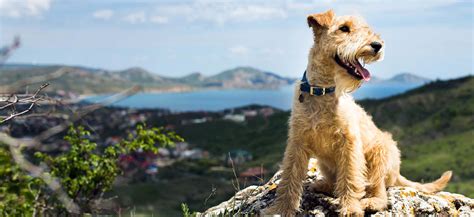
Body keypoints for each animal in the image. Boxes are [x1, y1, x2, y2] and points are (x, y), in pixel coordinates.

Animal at [264, 9, 454, 216]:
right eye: (344, 28)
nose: (377, 45)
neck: (323, 91)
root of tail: (397, 173)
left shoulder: (349, 143)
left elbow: (350, 177)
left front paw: (351, 208)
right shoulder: (297, 142)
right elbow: (289, 179)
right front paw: (280, 209)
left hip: (380, 156)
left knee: (379, 193)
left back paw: (369, 202)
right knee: (336, 183)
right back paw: (323, 185)